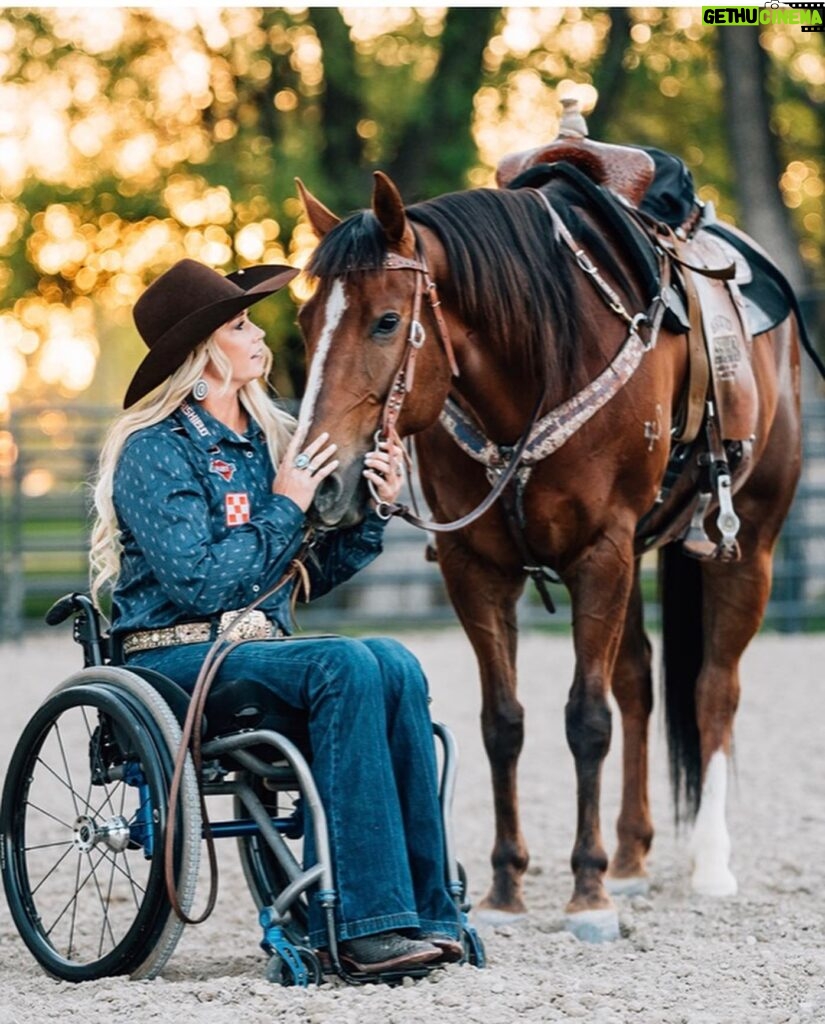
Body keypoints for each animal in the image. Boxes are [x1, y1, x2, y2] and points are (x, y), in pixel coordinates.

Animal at [290, 163, 802, 937]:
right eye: (304, 321)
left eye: (385, 321)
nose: (321, 482)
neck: (535, 360)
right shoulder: (477, 567)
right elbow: (502, 723)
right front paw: (507, 887)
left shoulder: (601, 551)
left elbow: (586, 721)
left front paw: (586, 893)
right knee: (638, 680)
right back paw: (630, 859)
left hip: (748, 544)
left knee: (714, 689)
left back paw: (708, 864)